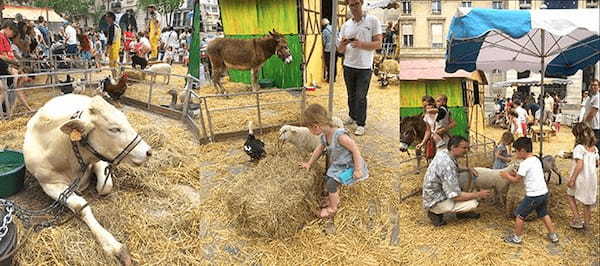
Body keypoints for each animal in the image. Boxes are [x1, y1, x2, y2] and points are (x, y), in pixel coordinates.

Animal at [23, 94, 151, 264]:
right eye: (114, 129)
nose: (148, 151)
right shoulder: (48, 183)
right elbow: (80, 205)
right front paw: (112, 245)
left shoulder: (98, 160)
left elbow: (105, 187)